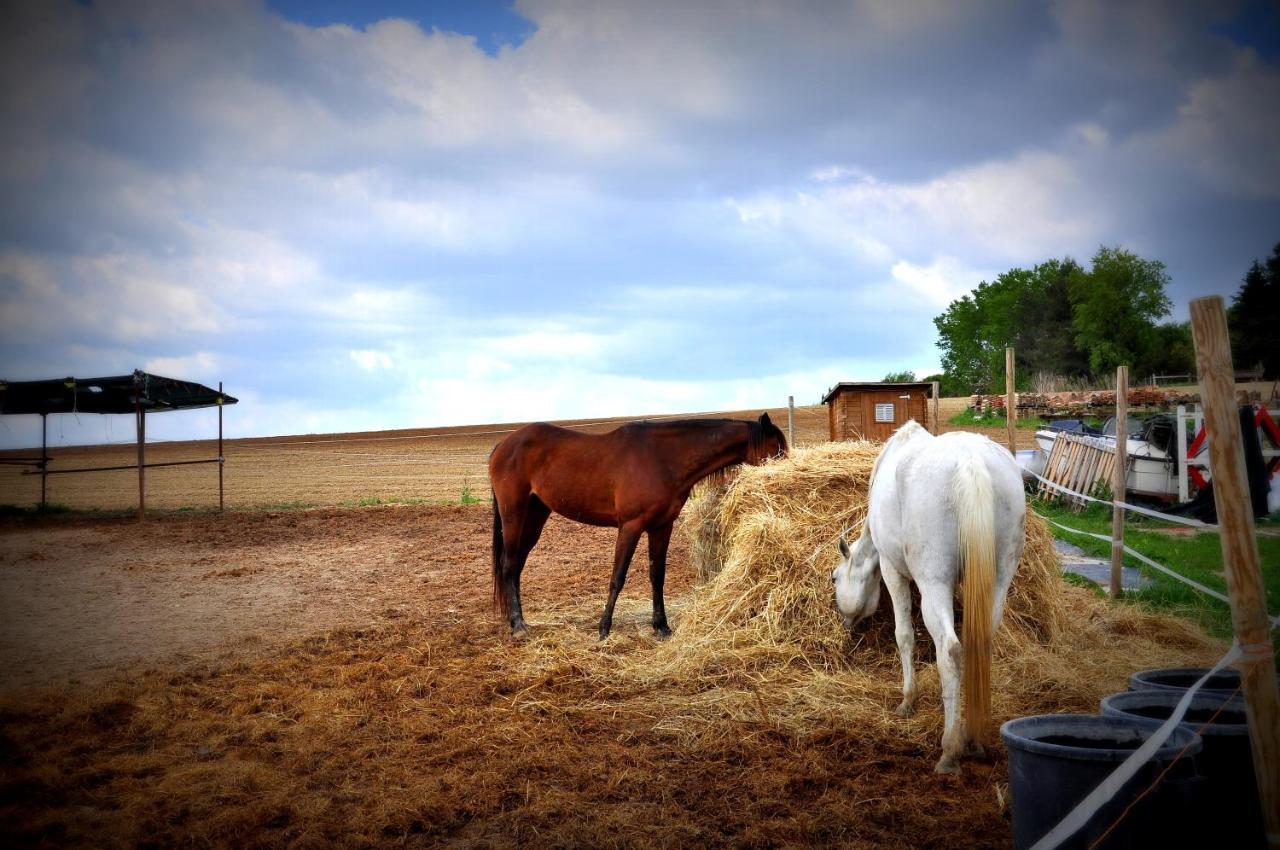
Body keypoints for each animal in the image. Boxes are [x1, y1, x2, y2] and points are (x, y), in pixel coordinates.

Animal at [488, 412, 788, 637]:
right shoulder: (630, 526)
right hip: (514, 513)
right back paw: (518, 626)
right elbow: (617, 577)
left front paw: (661, 627)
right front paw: (604, 628)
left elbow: (657, 576)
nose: (788, 469)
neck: (663, 458)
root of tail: (504, 445)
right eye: (777, 449)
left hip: (536, 515)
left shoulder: (661, 527)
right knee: (509, 564)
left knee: (517, 566)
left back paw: (517, 620)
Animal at [834, 422, 1024, 773]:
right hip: (999, 579)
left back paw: (950, 750)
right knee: (978, 644)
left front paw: (908, 699)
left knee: (949, 649)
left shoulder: (891, 570)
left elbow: (904, 635)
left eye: (834, 578)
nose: (847, 623)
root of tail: (970, 462)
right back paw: (973, 738)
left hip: (933, 582)